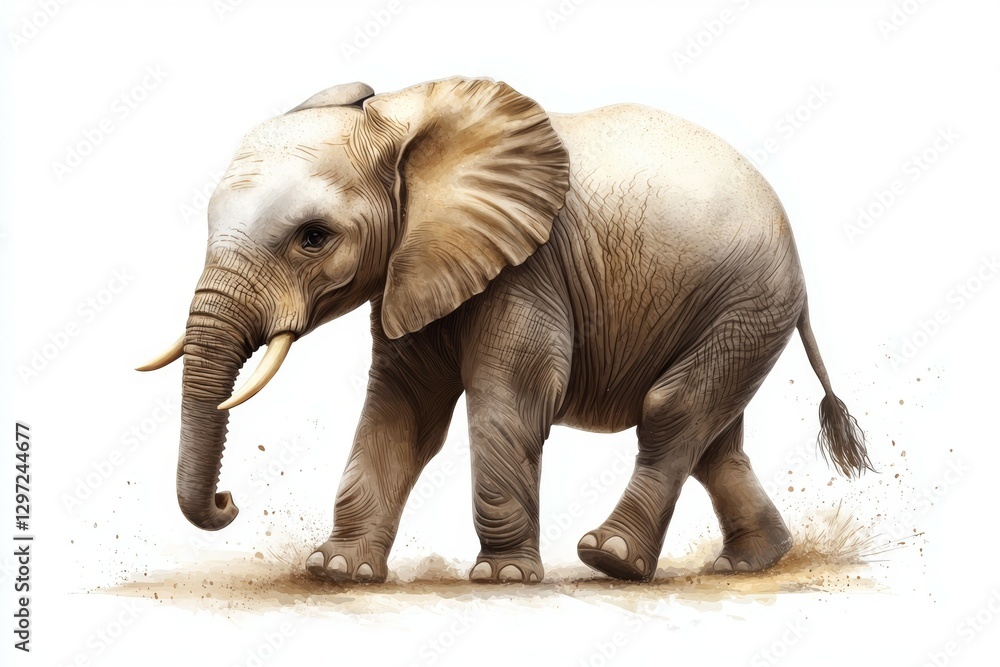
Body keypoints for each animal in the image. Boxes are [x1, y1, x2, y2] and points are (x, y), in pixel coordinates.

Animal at [139, 76, 871, 584]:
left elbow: (508, 401)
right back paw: (751, 563)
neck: (402, 117)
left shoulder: (527, 266)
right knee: (715, 441)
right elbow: (402, 410)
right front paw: (337, 572)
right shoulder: (420, 267)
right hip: (741, 309)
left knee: (674, 411)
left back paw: (611, 559)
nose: (228, 501)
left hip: (748, 296)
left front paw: (504, 577)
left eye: (313, 237)